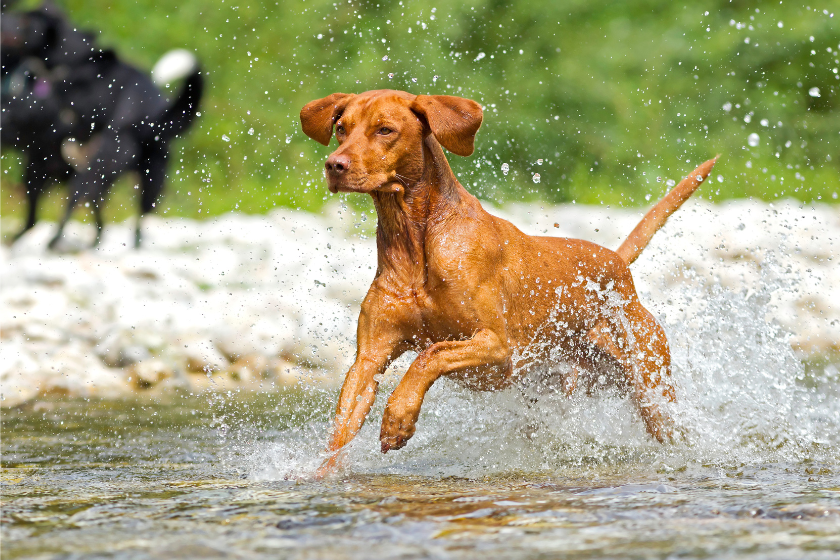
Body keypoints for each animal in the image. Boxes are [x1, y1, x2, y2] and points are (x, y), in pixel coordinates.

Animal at [0, 2, 203, 247]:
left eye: (25, 21)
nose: (3, 18)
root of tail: (153, 118)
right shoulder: (40, 157)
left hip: (112, 167)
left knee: (85, 201)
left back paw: (58, 241)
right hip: (131, 174)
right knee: (101, 210)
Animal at [300, 89, 716, 474]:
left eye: (385, 130)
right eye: (341, 128)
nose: (334, 165)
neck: (414, 241)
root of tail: (617, 262)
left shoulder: (496, 346)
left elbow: (429, 356)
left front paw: (398, 417)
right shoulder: (368, 359)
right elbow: (341, 429)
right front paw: (320, 474)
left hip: (652, 392)